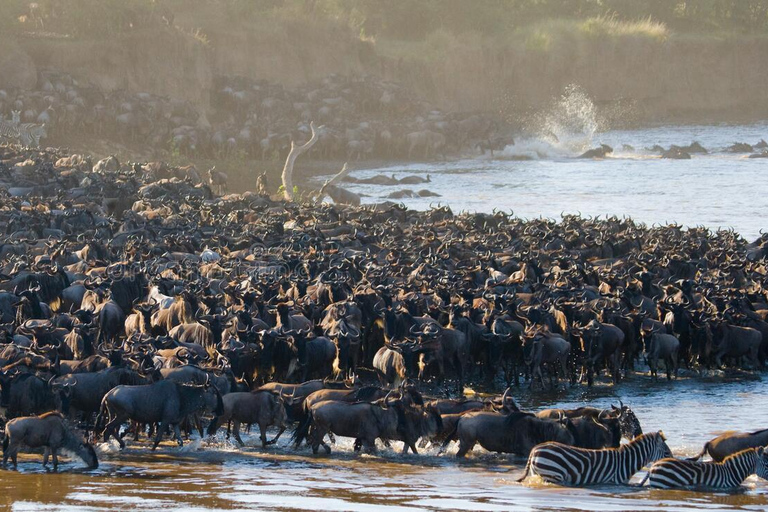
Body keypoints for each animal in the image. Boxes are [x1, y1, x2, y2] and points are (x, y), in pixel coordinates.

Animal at [516, 430, 672, 486]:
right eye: (666, 453)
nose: (672, 461)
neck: (626, 461)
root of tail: (535, 449)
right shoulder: (613, 481)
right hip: (553, 474)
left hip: (537, 473)